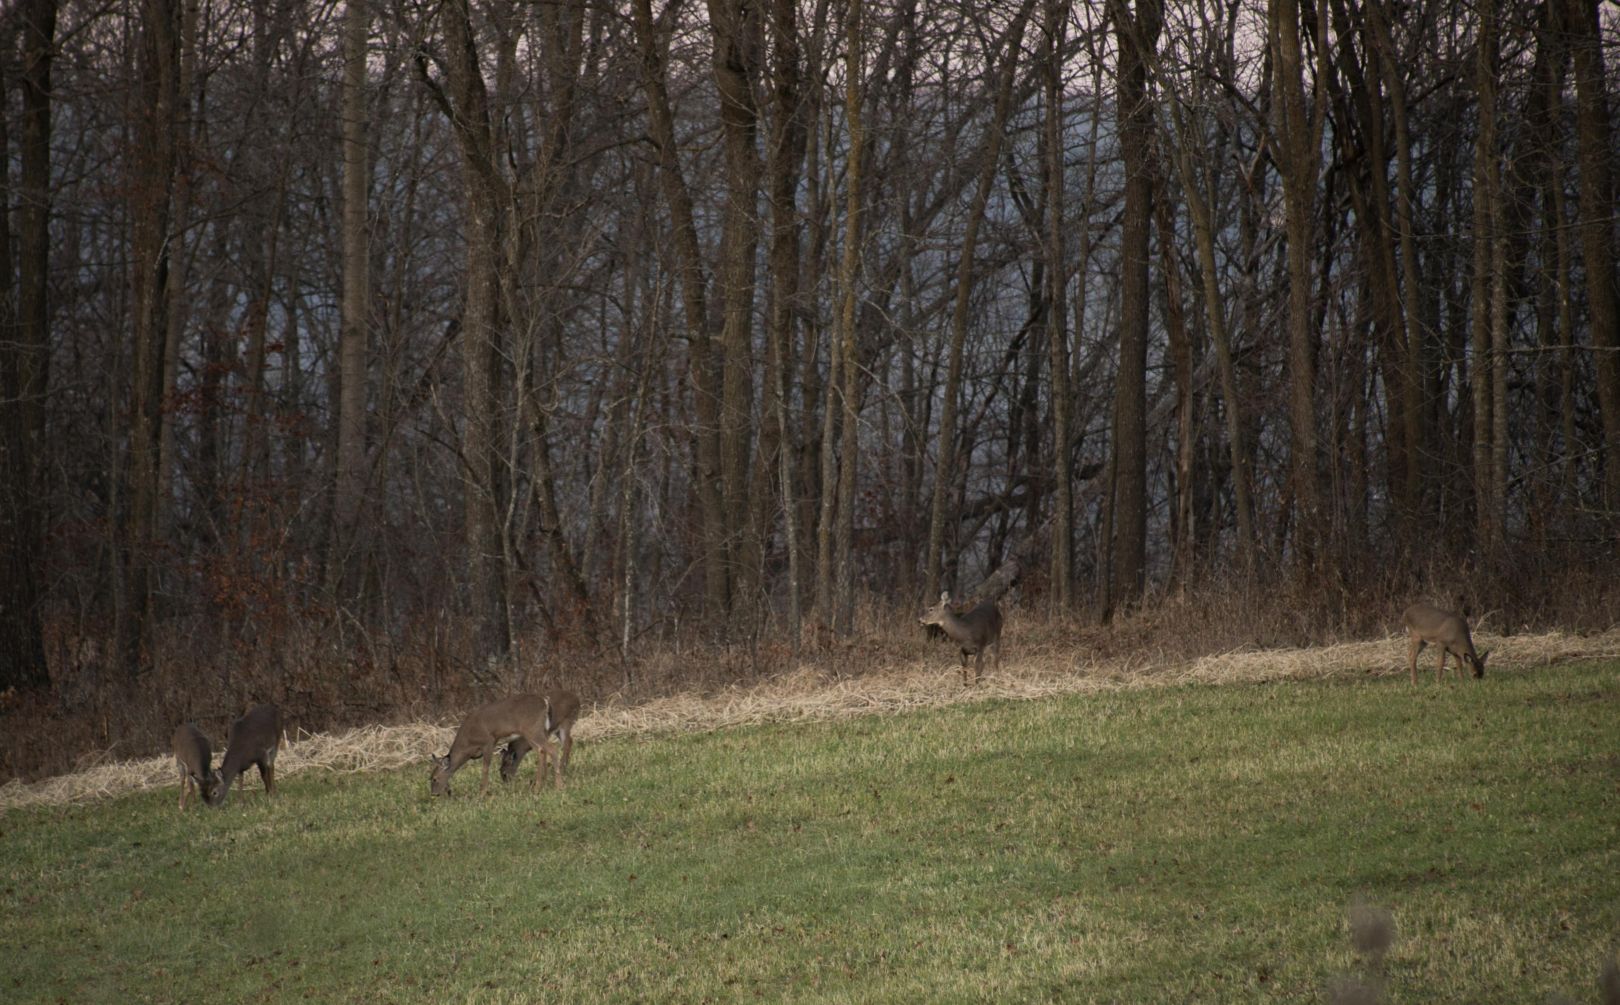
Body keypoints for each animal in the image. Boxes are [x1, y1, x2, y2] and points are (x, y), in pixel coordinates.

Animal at [430, 693, 563, 797]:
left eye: (435, 779)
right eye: (431, 778)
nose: (434, 794)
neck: (468, 744)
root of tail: (545, 701)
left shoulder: (489, 741)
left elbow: (485, 768)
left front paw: (481, 794)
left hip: (531, 730)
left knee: (551, 749)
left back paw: (556, 786)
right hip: (540, 731)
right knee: (543, 750)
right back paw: (542, 785)